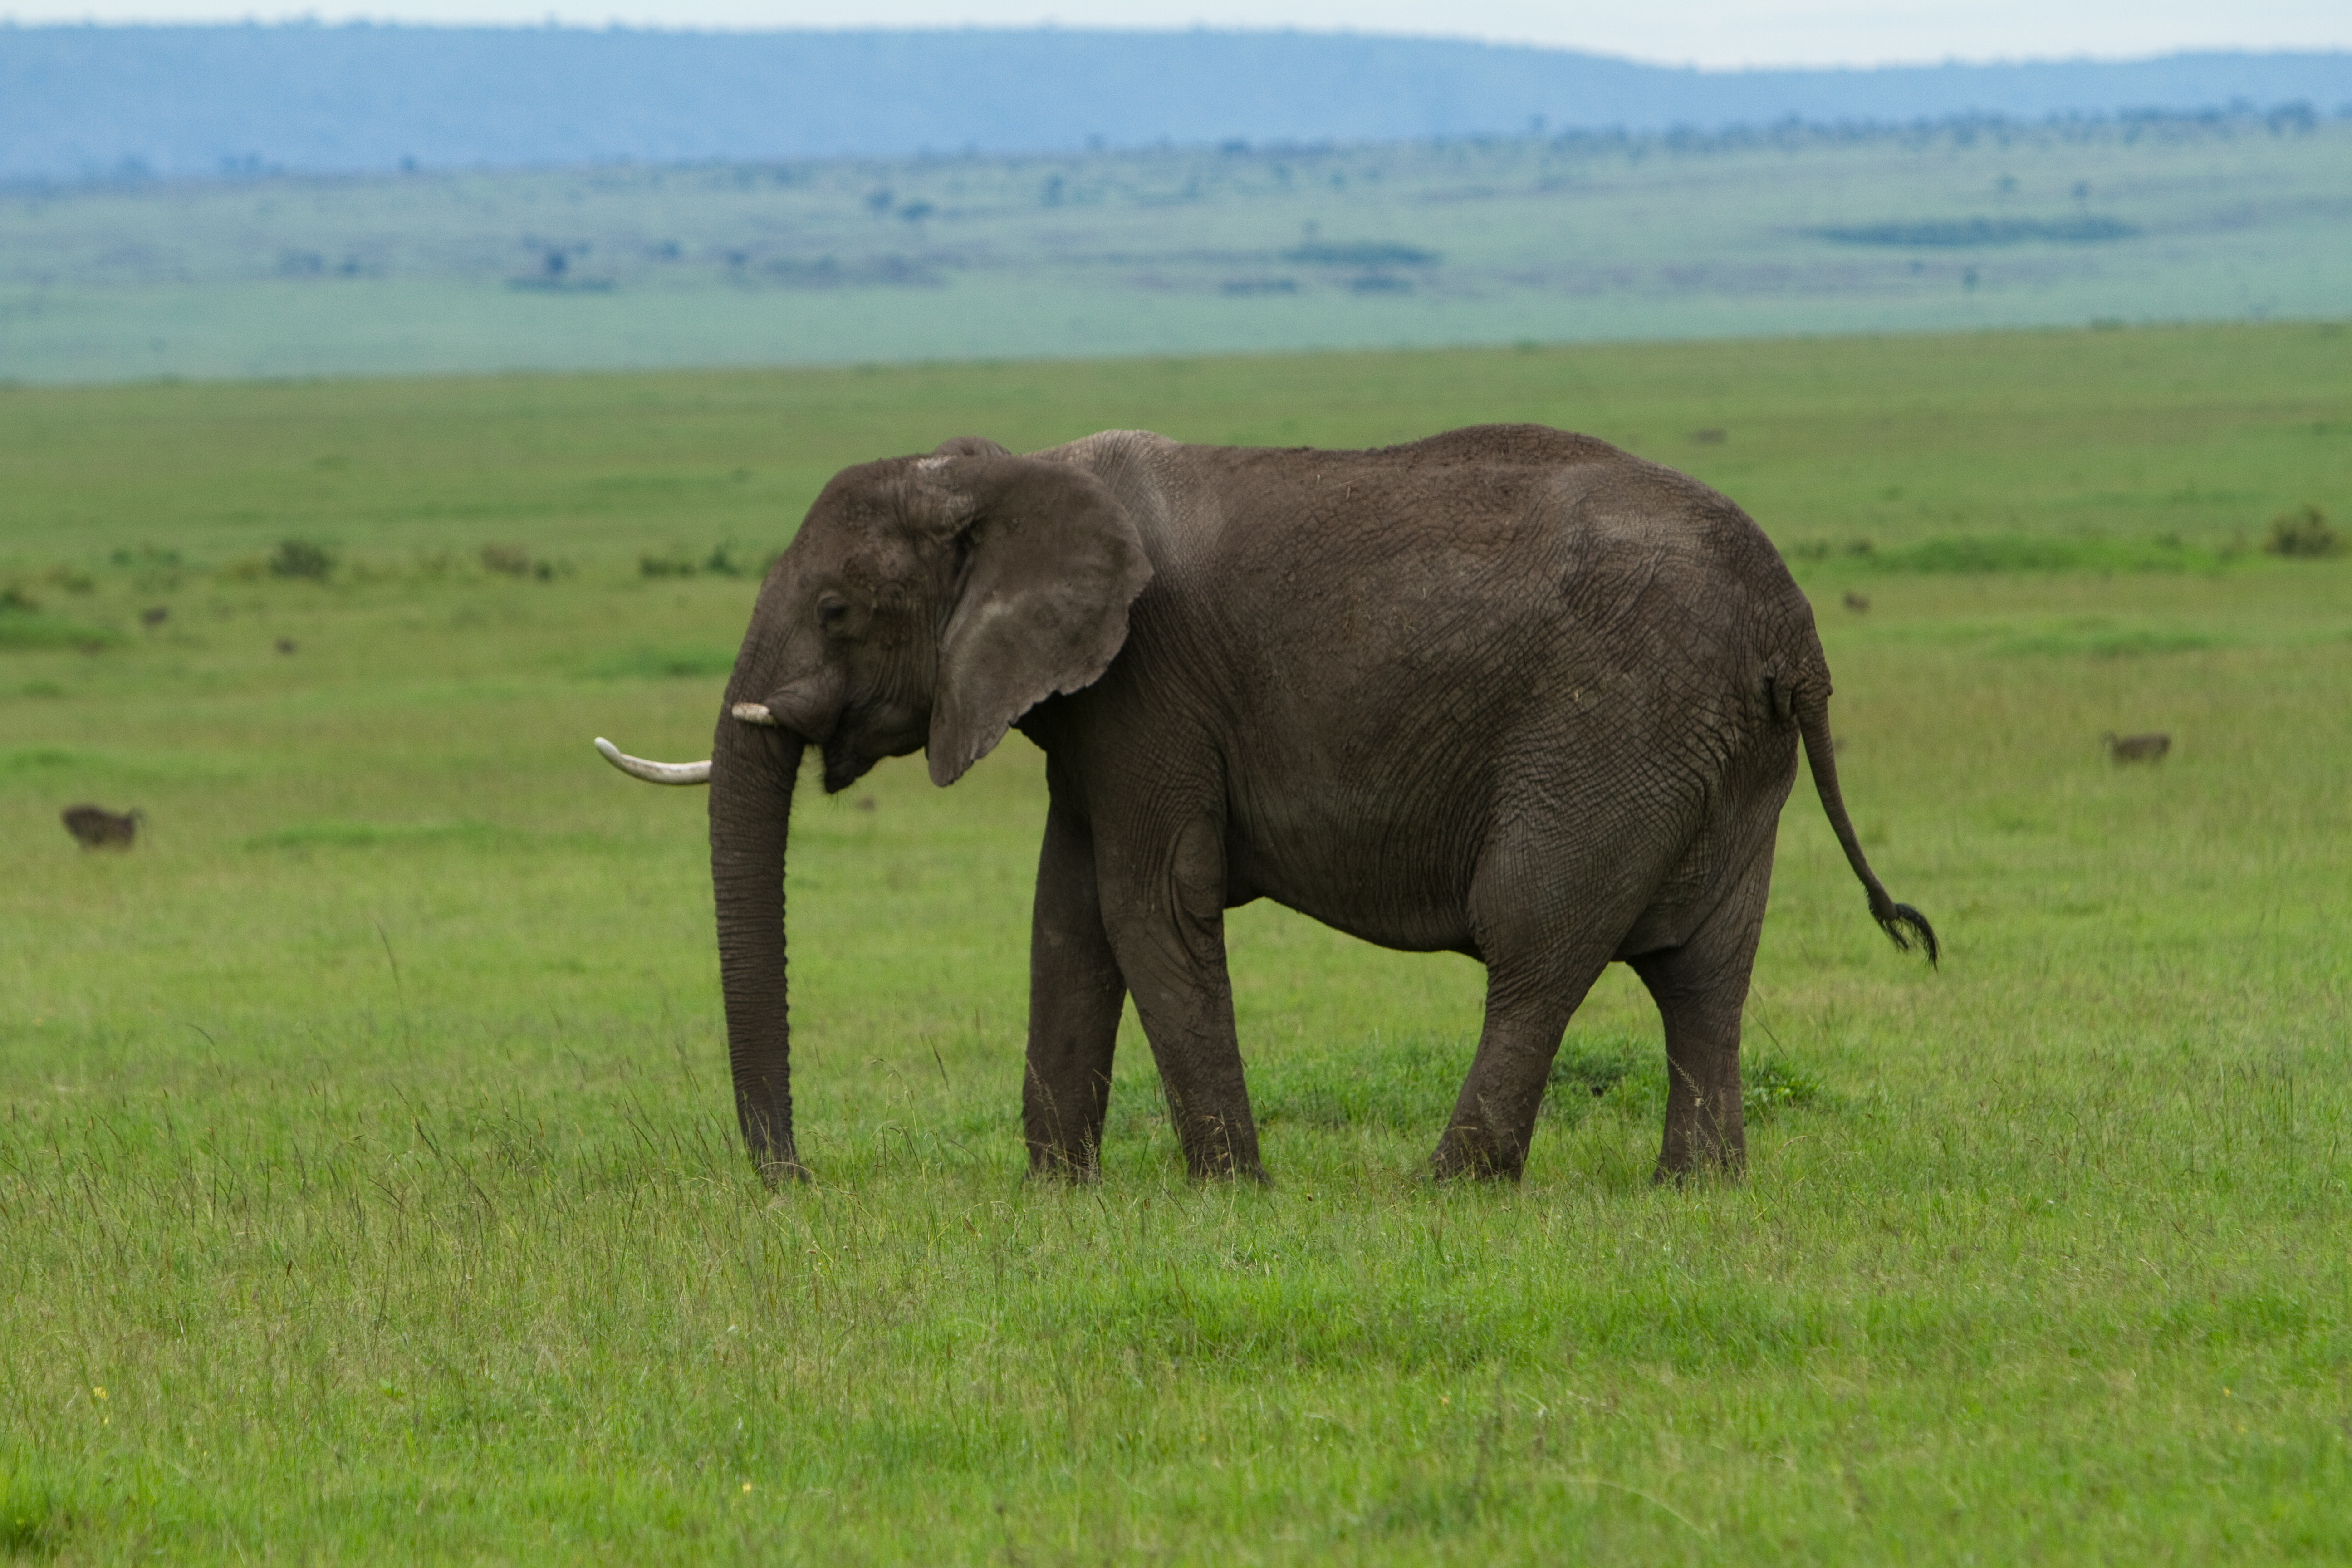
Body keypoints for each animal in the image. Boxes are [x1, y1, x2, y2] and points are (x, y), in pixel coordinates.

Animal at [595, 423, 1936, 1185]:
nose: (795, 1179)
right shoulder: (1093, 706)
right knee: (1704, 967)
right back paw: (1695, 1187)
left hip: (1617, 728)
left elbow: (1148, 903)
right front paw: (1057, 1191)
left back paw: (1446, 1183)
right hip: (1722, 754)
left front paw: (1229, 1190)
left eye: (834, 610)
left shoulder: (1149, 681)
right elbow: (1067, 915)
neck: (1010, 471)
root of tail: (1793, 629)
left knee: (1536, 942)